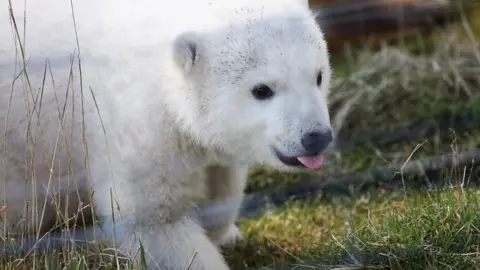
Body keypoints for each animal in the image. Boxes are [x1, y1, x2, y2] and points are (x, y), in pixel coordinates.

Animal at [0, 0, 334, 268]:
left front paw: (227, 233)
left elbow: (219, 186)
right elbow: (155, 220)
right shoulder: (138, 126)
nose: (316, 137)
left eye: (318, 76)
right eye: (262, 89)